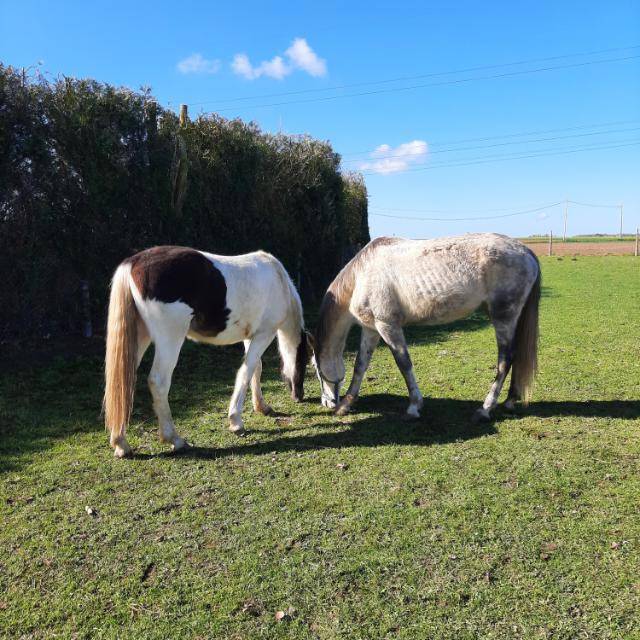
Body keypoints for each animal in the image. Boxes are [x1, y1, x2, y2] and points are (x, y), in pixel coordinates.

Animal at [103, 246, 310, 458]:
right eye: (305, 360)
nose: (300, 396)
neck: (279, 281)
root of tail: (133, 263)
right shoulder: (264, 334)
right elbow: (247, 371)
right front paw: (236, 421)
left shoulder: (250, 336)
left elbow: (256, 368)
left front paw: (261, 406)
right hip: (170, 339)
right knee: (158, 382)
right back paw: (175, 440)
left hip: (140, 337)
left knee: (122, 383)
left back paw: (121, 444)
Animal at [311, 233, 541, 422]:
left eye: (316, 369)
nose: (326, 402)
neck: (361, 276)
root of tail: (526, 251)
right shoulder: (371, 329)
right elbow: (360, 364)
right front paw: (345, 404)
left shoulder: (388, 326)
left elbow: (404, 363)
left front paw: (414, 406)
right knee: (516, 356)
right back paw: (509, 401)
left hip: (503, 317)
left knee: (506, 359)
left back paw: (485, 409)